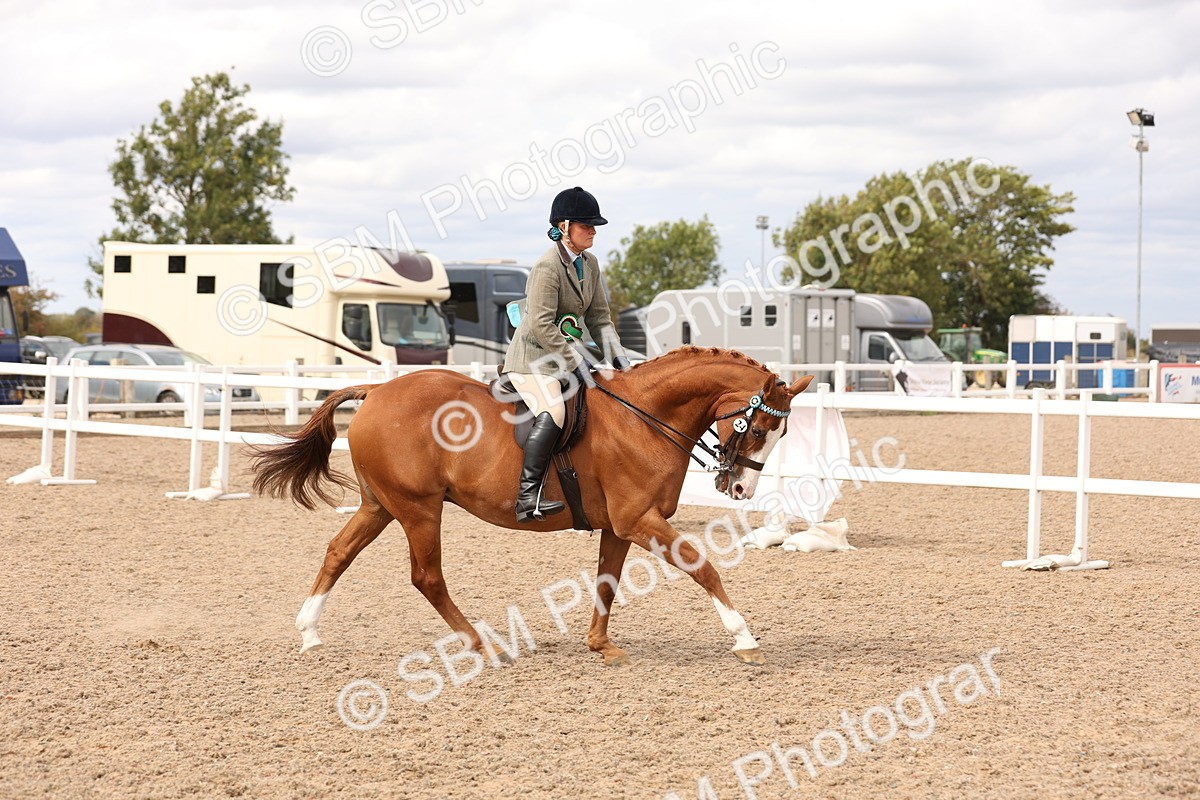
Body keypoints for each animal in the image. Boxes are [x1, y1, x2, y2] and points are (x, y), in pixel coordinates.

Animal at [249, 346, 812, 666]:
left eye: (778, 433)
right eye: (757, 427)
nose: (740, 490)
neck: (645, 416)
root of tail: (378, 390)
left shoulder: (622, 525)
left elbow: (607, 581)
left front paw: (601, 646)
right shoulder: (640, 520)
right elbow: (704, 568)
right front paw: (743, 637)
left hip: (380, 506)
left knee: (338, 552)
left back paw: (309, 634)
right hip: (418, 509)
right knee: (427, 577)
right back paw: (484, 645)